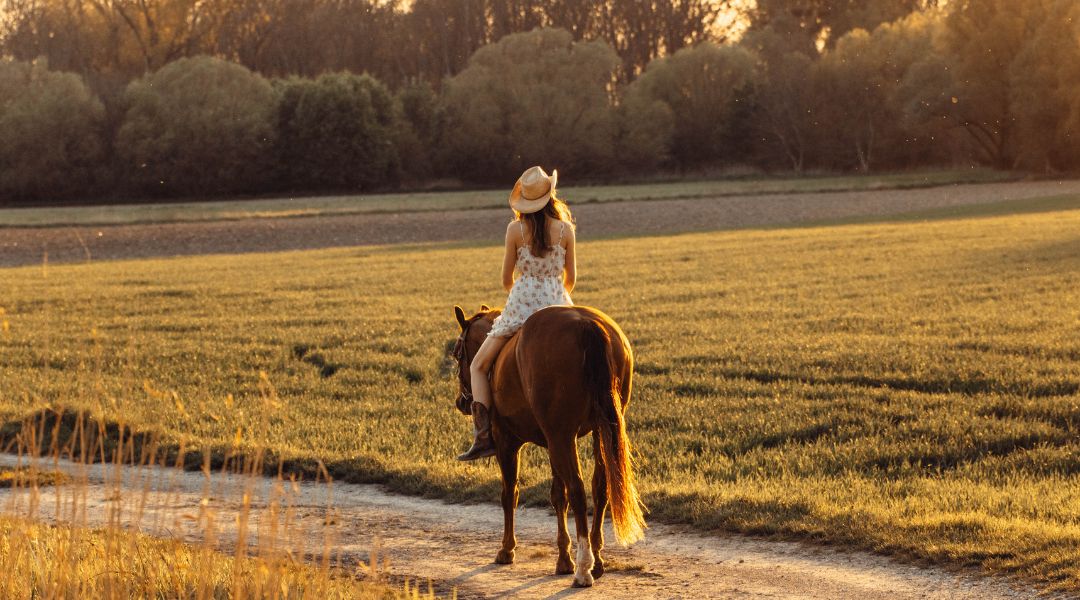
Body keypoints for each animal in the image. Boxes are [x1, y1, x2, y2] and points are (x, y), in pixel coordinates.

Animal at [451, 304, 643, 587]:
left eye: (457, 354)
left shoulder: (508, 443)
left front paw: (507, 549)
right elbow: (557, 497)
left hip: (561, 436)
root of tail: (587, 324)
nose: (461, 402)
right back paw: (596, 560)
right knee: (600, 487)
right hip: (595, 431)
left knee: (577, 489)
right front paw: (563, 558)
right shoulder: (553, 440)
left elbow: (509, 494)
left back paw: (584, 568)